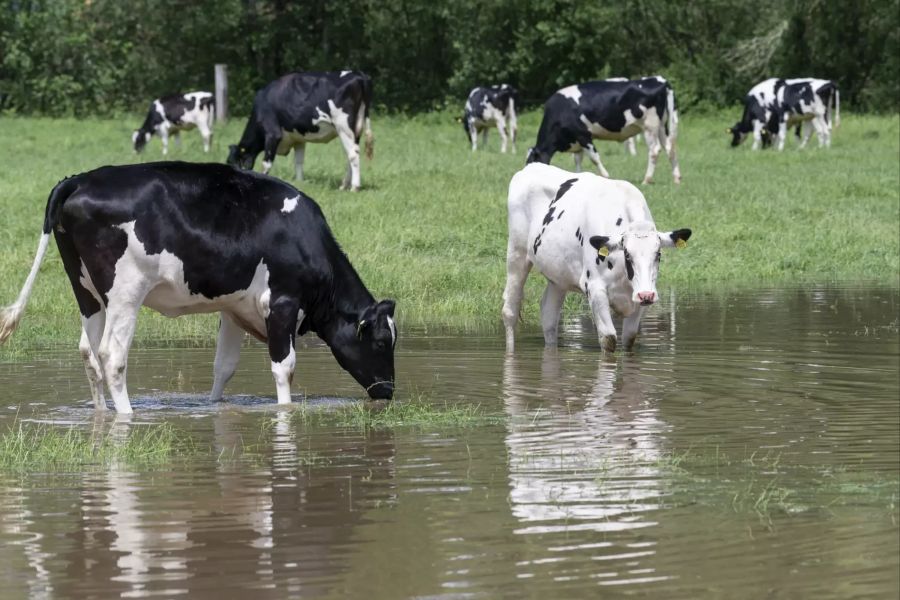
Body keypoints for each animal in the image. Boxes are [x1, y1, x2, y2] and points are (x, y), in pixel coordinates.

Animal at [0, 161, 396, 412]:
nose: (389, 391)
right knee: (112, 356)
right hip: (125, 292)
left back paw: (100, 413)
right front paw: (285, 412)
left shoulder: (235, 308)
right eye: (380, 341)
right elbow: (284, 368)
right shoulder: (282, 302)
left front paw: (213, 407)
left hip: (86, 290)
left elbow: (224, 367)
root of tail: (79, 179)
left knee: (88, 352)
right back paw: (126, 414)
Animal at [232, 70, 376, 192]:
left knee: (352, 154)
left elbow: (266, 163)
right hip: (355, 130)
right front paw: (300, 182)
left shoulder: (272, 133)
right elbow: (299, 161)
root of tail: (358, 74)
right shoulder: (298, 139)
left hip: (343, 126)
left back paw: (354, 187)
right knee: (351, 154)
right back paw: (344, 185)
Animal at [502, 163, 692, 352]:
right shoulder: (595, 288)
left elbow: (629, 339)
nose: (647, 295)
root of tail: (530, 167)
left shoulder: (638, 295)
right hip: (516, 254)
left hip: (558, 276)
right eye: (627, 254)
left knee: (549, 316)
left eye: (658, 254)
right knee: (510, 310)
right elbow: (608, 339)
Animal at [524, 77, 680, 185]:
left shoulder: (583, 135)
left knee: (654, 150)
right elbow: (577, 160)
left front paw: (605, 176)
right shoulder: (576, 141)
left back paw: (646, 180)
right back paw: (676, 179)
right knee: (670, 148)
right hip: (661, 127)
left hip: (649, 126)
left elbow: (594, 158)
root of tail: (660, 80)